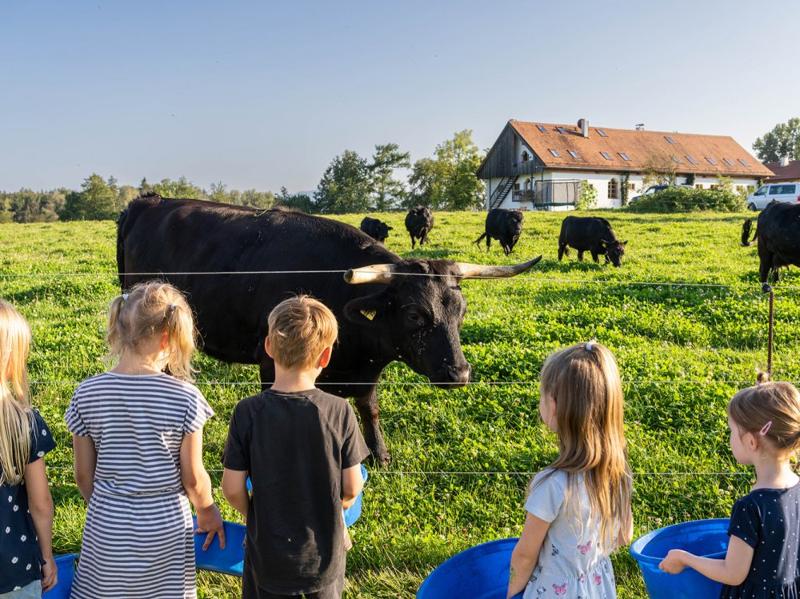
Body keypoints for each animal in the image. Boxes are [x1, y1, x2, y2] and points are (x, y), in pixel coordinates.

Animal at [117, 196, 544, 464]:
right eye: (413, 315)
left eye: (461, 311)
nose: (459, 373)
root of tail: (150, 201)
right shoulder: (270, 361)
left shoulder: (366, 370)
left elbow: (369, 408)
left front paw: (381, 455)